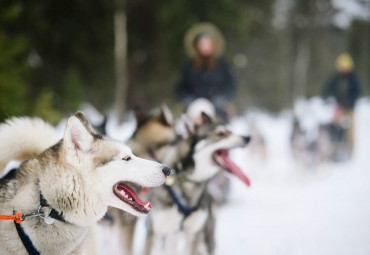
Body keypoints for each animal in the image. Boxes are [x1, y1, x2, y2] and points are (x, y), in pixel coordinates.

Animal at [145, 113, 251, 255]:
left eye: (231, 131)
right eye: (221, 133)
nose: (247, 138)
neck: (188, 180)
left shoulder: (194, 236)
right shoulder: (154, 234)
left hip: (205, 240)